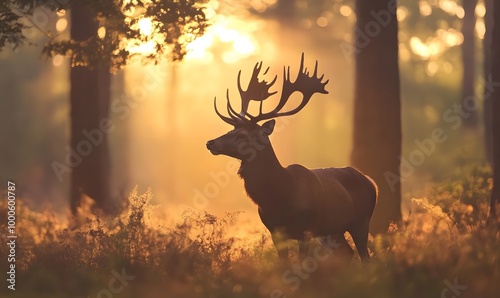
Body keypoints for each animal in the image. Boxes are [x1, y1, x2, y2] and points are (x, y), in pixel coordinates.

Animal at [205, 54, 376, 262]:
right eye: (231, 129)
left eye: (243, 135)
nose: (210, 143)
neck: (279, 195)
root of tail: (371, 182)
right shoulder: (275, 231)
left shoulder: (305, 230)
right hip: (333, 230)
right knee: (347, 253)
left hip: (362, 221)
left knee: (365, 256)